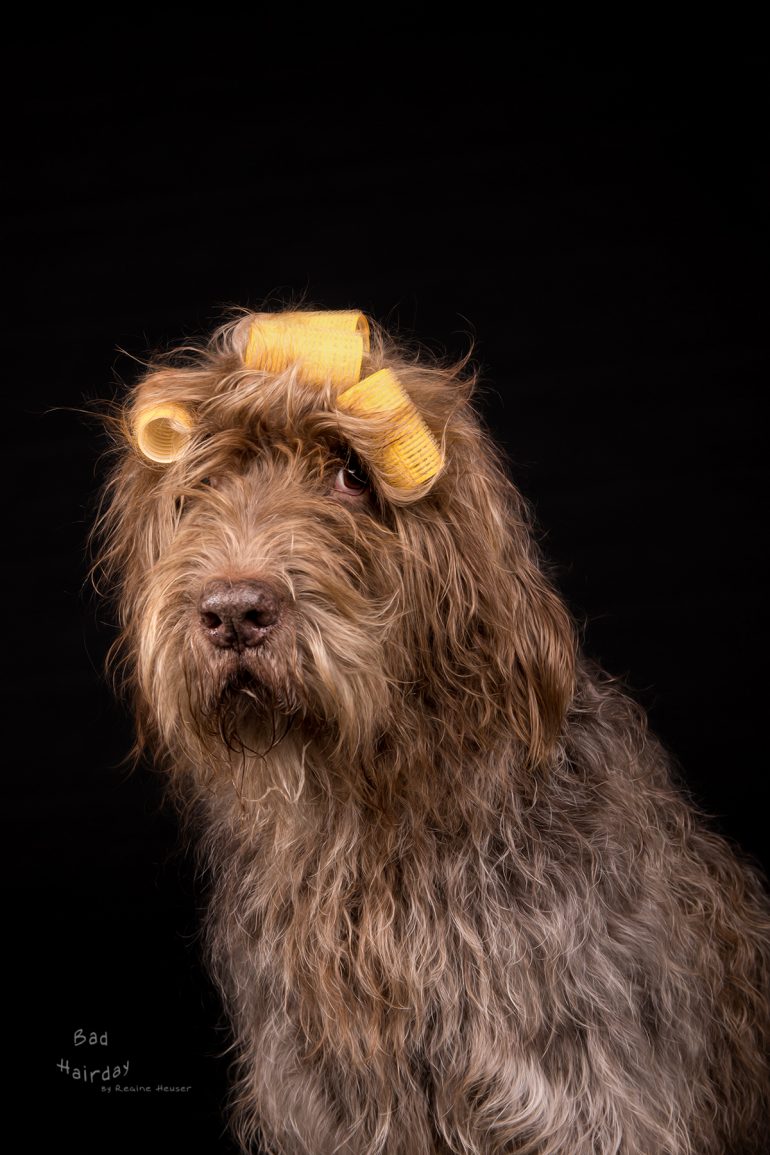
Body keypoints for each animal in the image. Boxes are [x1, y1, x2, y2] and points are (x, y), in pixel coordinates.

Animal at [94, 307, 770, 1155]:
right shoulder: (327, 1104)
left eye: (352, 474)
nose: (234, 612)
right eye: (207, 480)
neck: (377, 815)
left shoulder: (586, 1089)